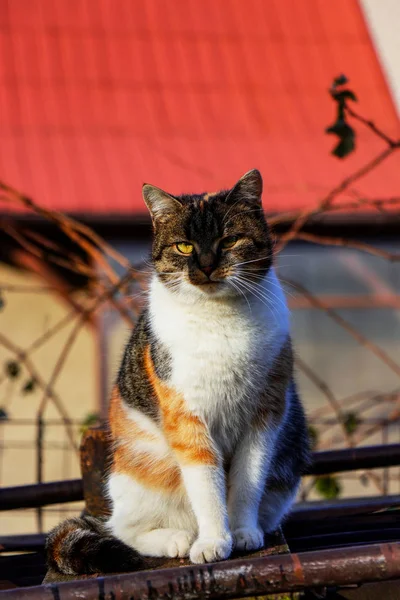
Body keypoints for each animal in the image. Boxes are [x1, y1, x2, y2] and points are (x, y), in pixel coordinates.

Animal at [46, 170, 310, 576]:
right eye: (184, 247)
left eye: (229, 240)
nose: (205, 266)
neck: (220, 319)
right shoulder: (186, 416)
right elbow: (206, 484)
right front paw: (214, 541)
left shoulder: (265, 415)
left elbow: (247, 480)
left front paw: (242, 532)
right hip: (145, 466)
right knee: (123, 530)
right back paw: (177, 539)